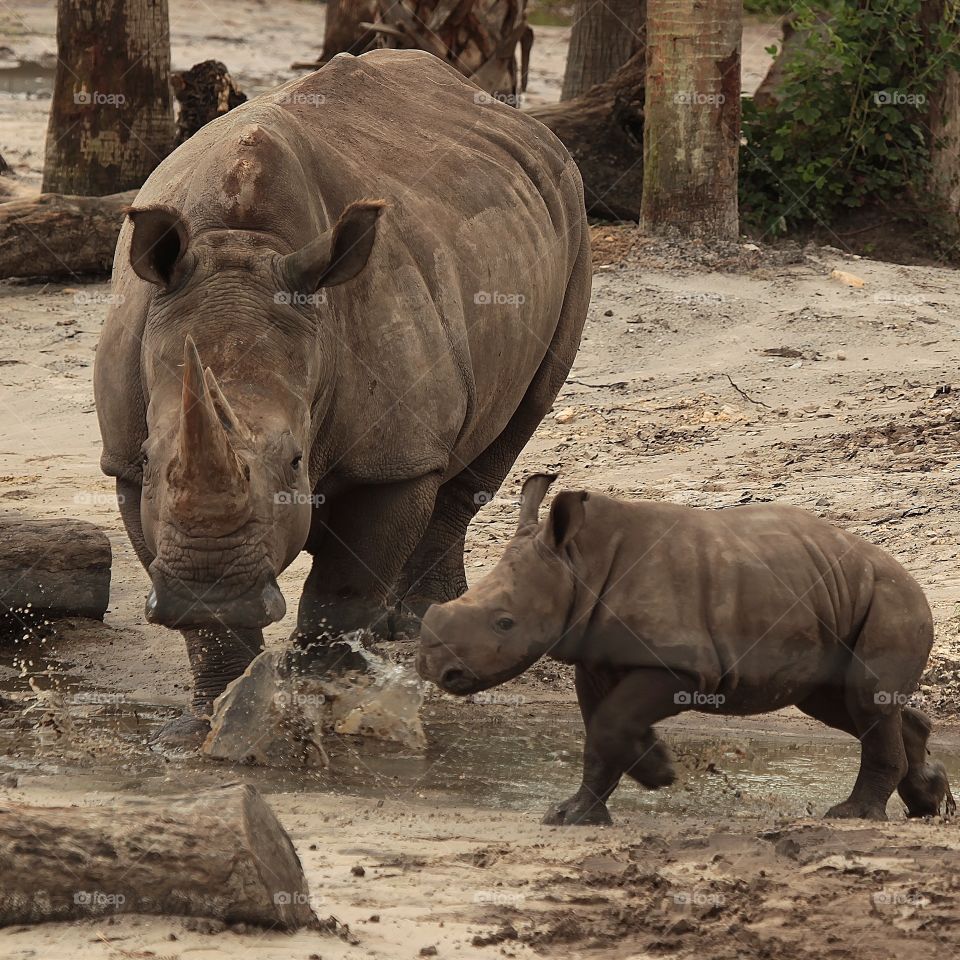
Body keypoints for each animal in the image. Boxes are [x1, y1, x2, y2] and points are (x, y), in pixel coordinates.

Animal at [93, 51, 591, 747]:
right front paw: (212, 723)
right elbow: (193, 595)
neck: (242, 244)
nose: (212, 594)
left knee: (509, 430)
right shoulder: (126, 462)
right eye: (152, 454)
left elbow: (344, 584)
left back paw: (416, 625)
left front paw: (320, 705)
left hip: (572, 213)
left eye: (296, 462)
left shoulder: (395, 459)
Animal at [418, 475, 955, 824]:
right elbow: (600, 732)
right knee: (839, 703)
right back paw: (927, 802)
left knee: (865, 699)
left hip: (889, 597)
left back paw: (853, 816)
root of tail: (907, 573)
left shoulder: (684, 667)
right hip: (835, 595)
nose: (435, 669)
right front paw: (574, 815)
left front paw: (658, 770)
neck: (578, 563)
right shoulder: (594, 662)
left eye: (504, 623)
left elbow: (612, 723)